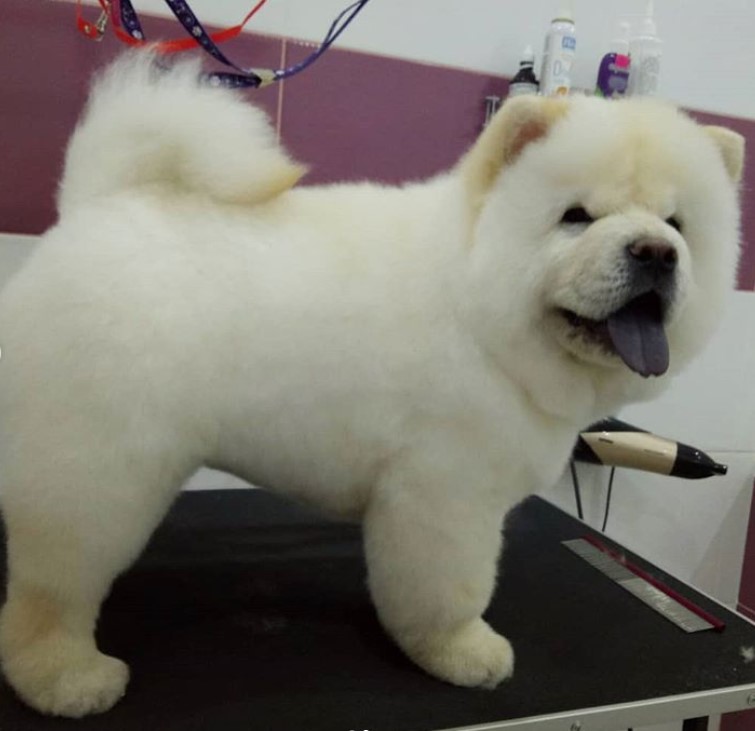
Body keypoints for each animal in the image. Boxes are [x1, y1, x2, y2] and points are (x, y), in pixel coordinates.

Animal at [0, 54, 744, 716]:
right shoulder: (444, 493)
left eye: (677, 226)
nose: (654, 252)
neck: (477, 298)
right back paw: (65, 678)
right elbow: (449, 589)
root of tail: (95, 204)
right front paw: (459, 653)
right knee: (51, 585)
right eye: (576, 216)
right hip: (98, 465)